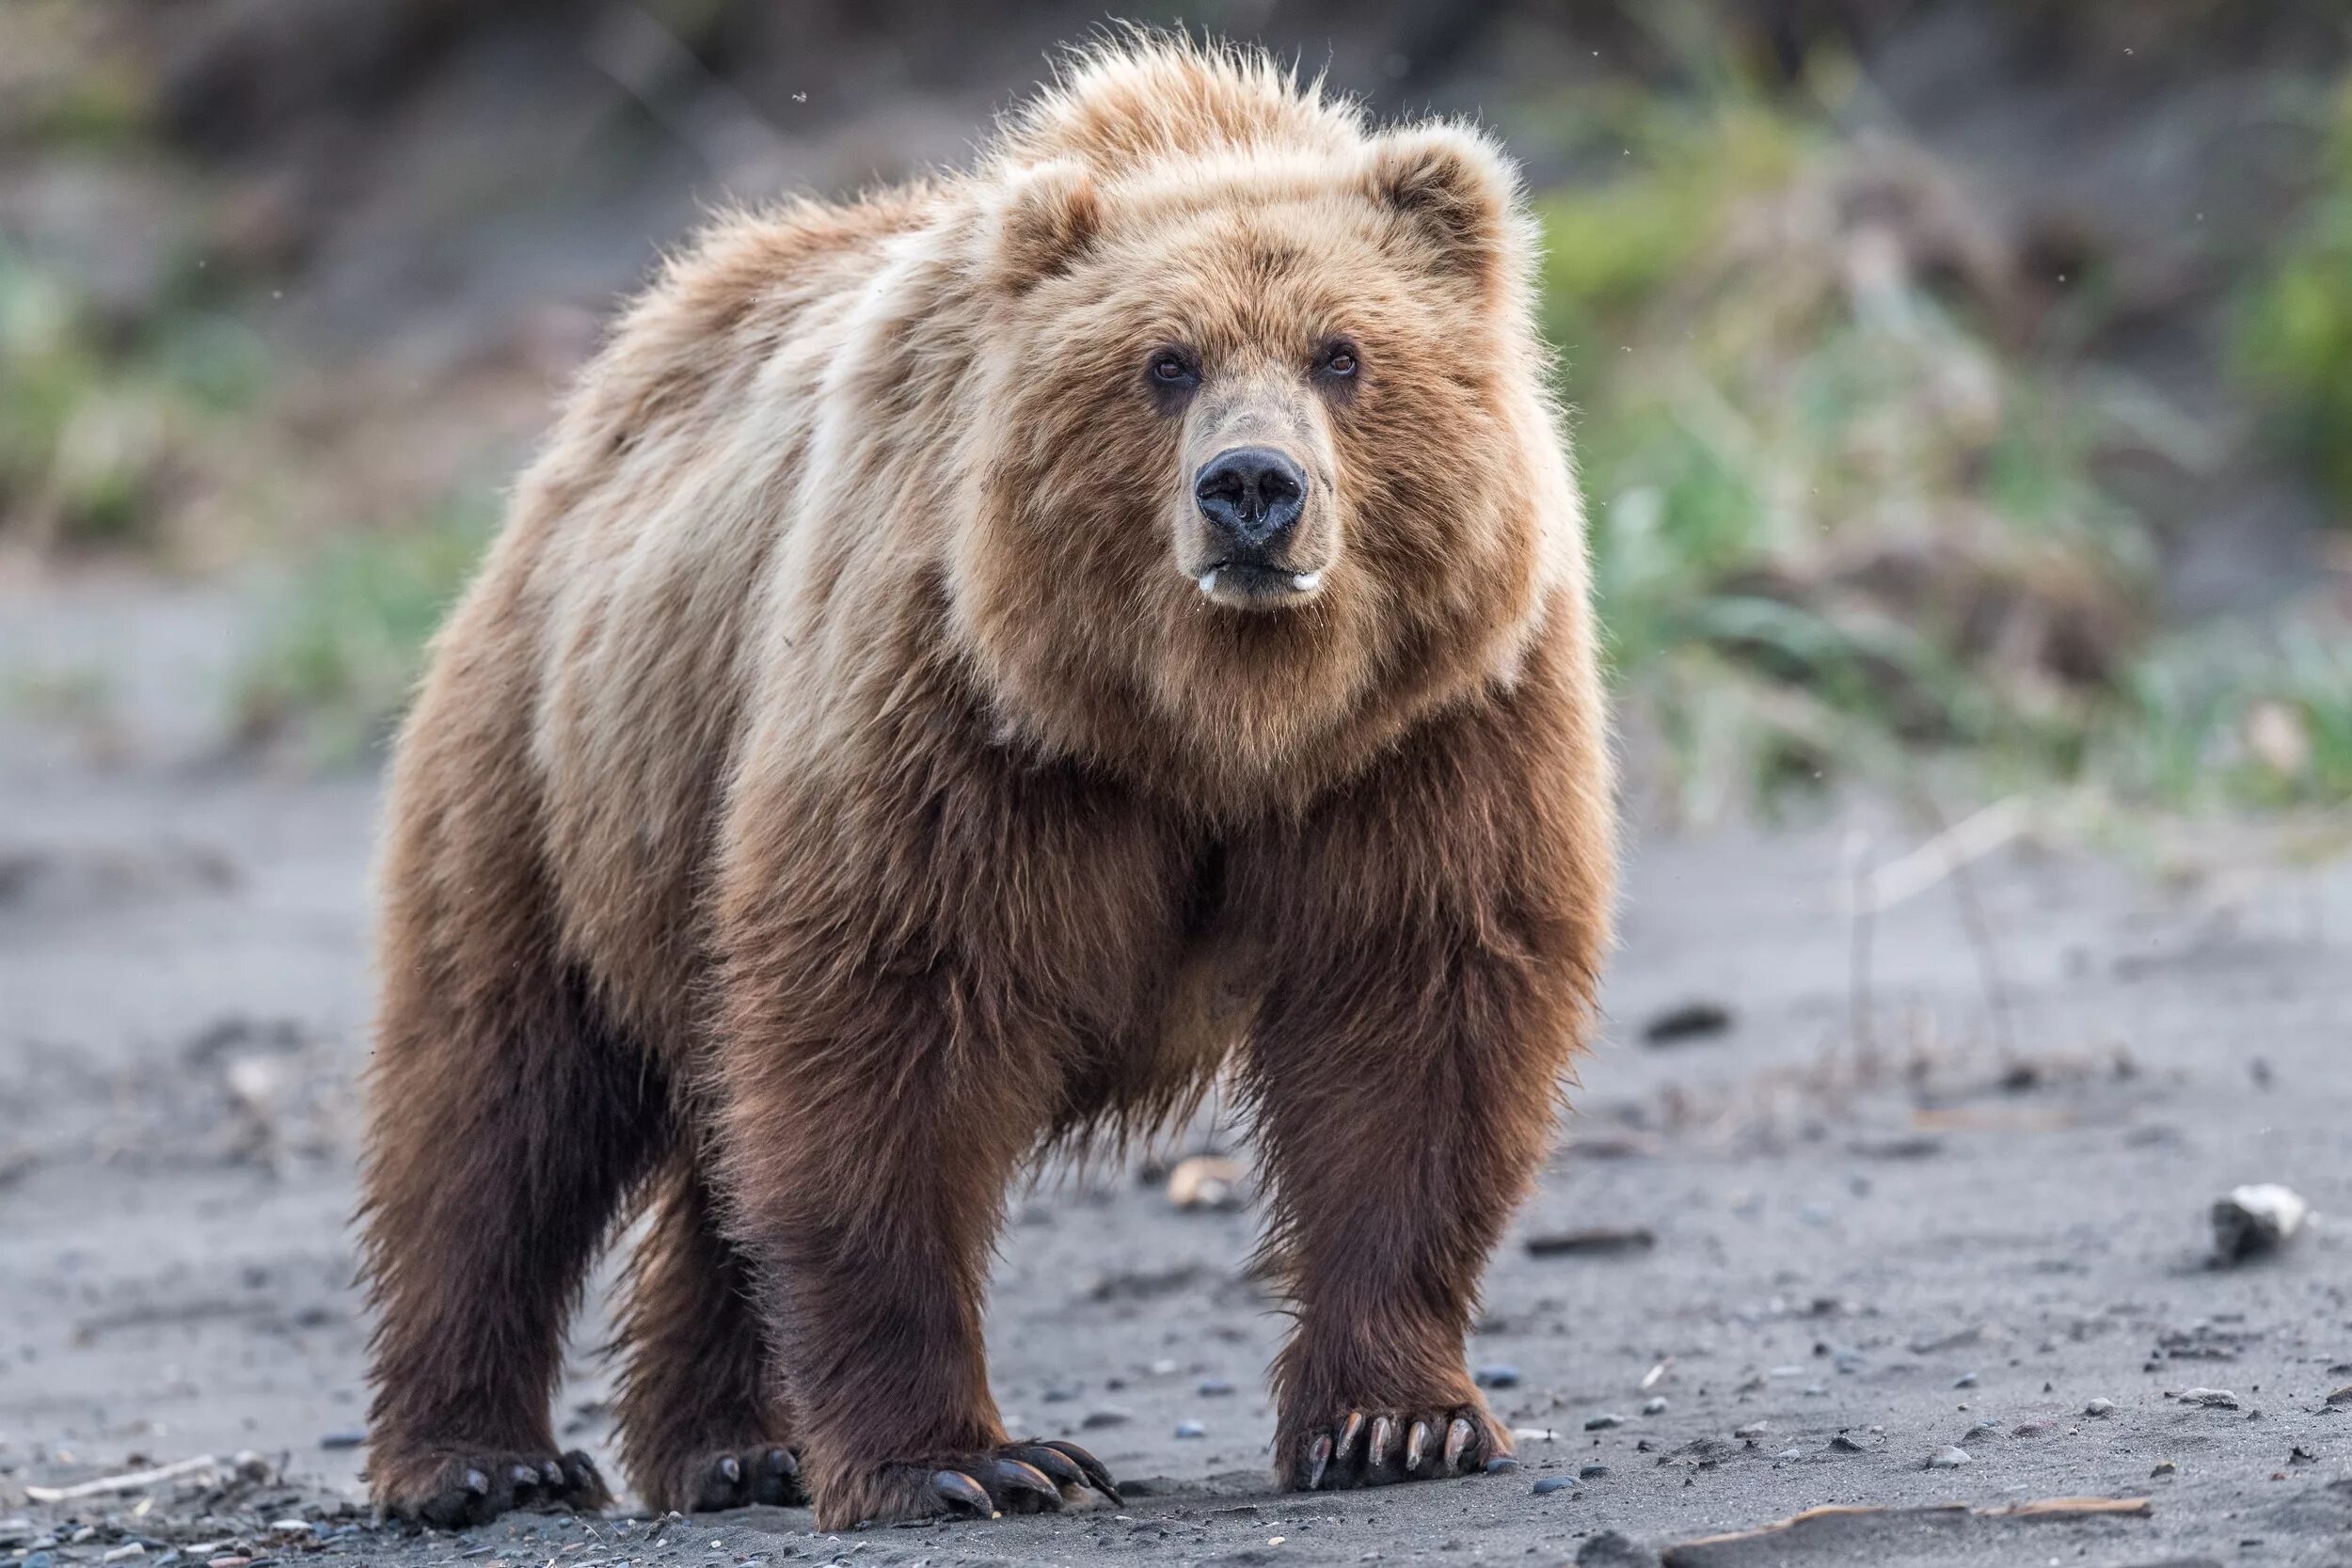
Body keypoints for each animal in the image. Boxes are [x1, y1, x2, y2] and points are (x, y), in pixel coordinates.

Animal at [358, 33, 1618, 1532]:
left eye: (1343, 352)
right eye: (1166, 361)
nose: (1253, 487)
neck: (1219, 719)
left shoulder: (1430, 723)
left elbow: (1416, 1016)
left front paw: (1394, 1417)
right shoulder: (960, 713)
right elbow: (889, 1025)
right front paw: (970, 1457)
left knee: (709, 1137)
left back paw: (732, 1442)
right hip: (561, 771)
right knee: (501, 1098)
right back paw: (479, 1455)